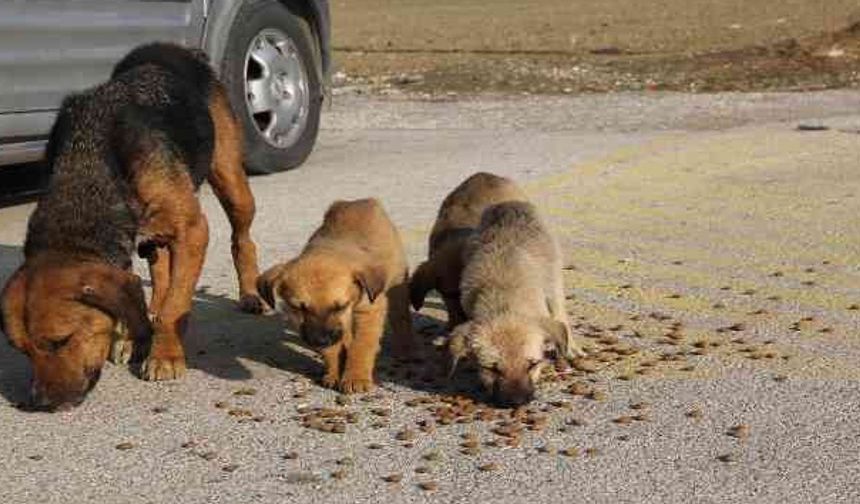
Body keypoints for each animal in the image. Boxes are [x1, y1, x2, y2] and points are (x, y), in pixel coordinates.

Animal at [0, 41, 264, 408]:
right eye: (22, 350)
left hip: (230, 181)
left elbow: (175, 305)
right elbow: (140, 297)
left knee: (242, 239)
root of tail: (175, 48)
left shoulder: (193, 231)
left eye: (60, 341)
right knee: (161, 269)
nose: (41, 403)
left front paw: (165, 355)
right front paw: (135, 339)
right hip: (154, 235)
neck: (87, 167)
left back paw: (250, 293)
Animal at [256, 198, 414, 394]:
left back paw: (406, 350)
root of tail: (361, 201)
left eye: (340, 306)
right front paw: (334, 373)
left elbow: (361, 346)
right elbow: (334, 349)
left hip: (397, 284)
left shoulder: (370, 309)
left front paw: (356, 377)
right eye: (299, 308)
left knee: (402, 319)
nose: (320, 341)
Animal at [450, 200, 584, 406]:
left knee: (560, 312)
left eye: (533, 364)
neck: (505, 297)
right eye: (492, 368)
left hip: (553, 277)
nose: (516, 402)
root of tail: (510, 203)